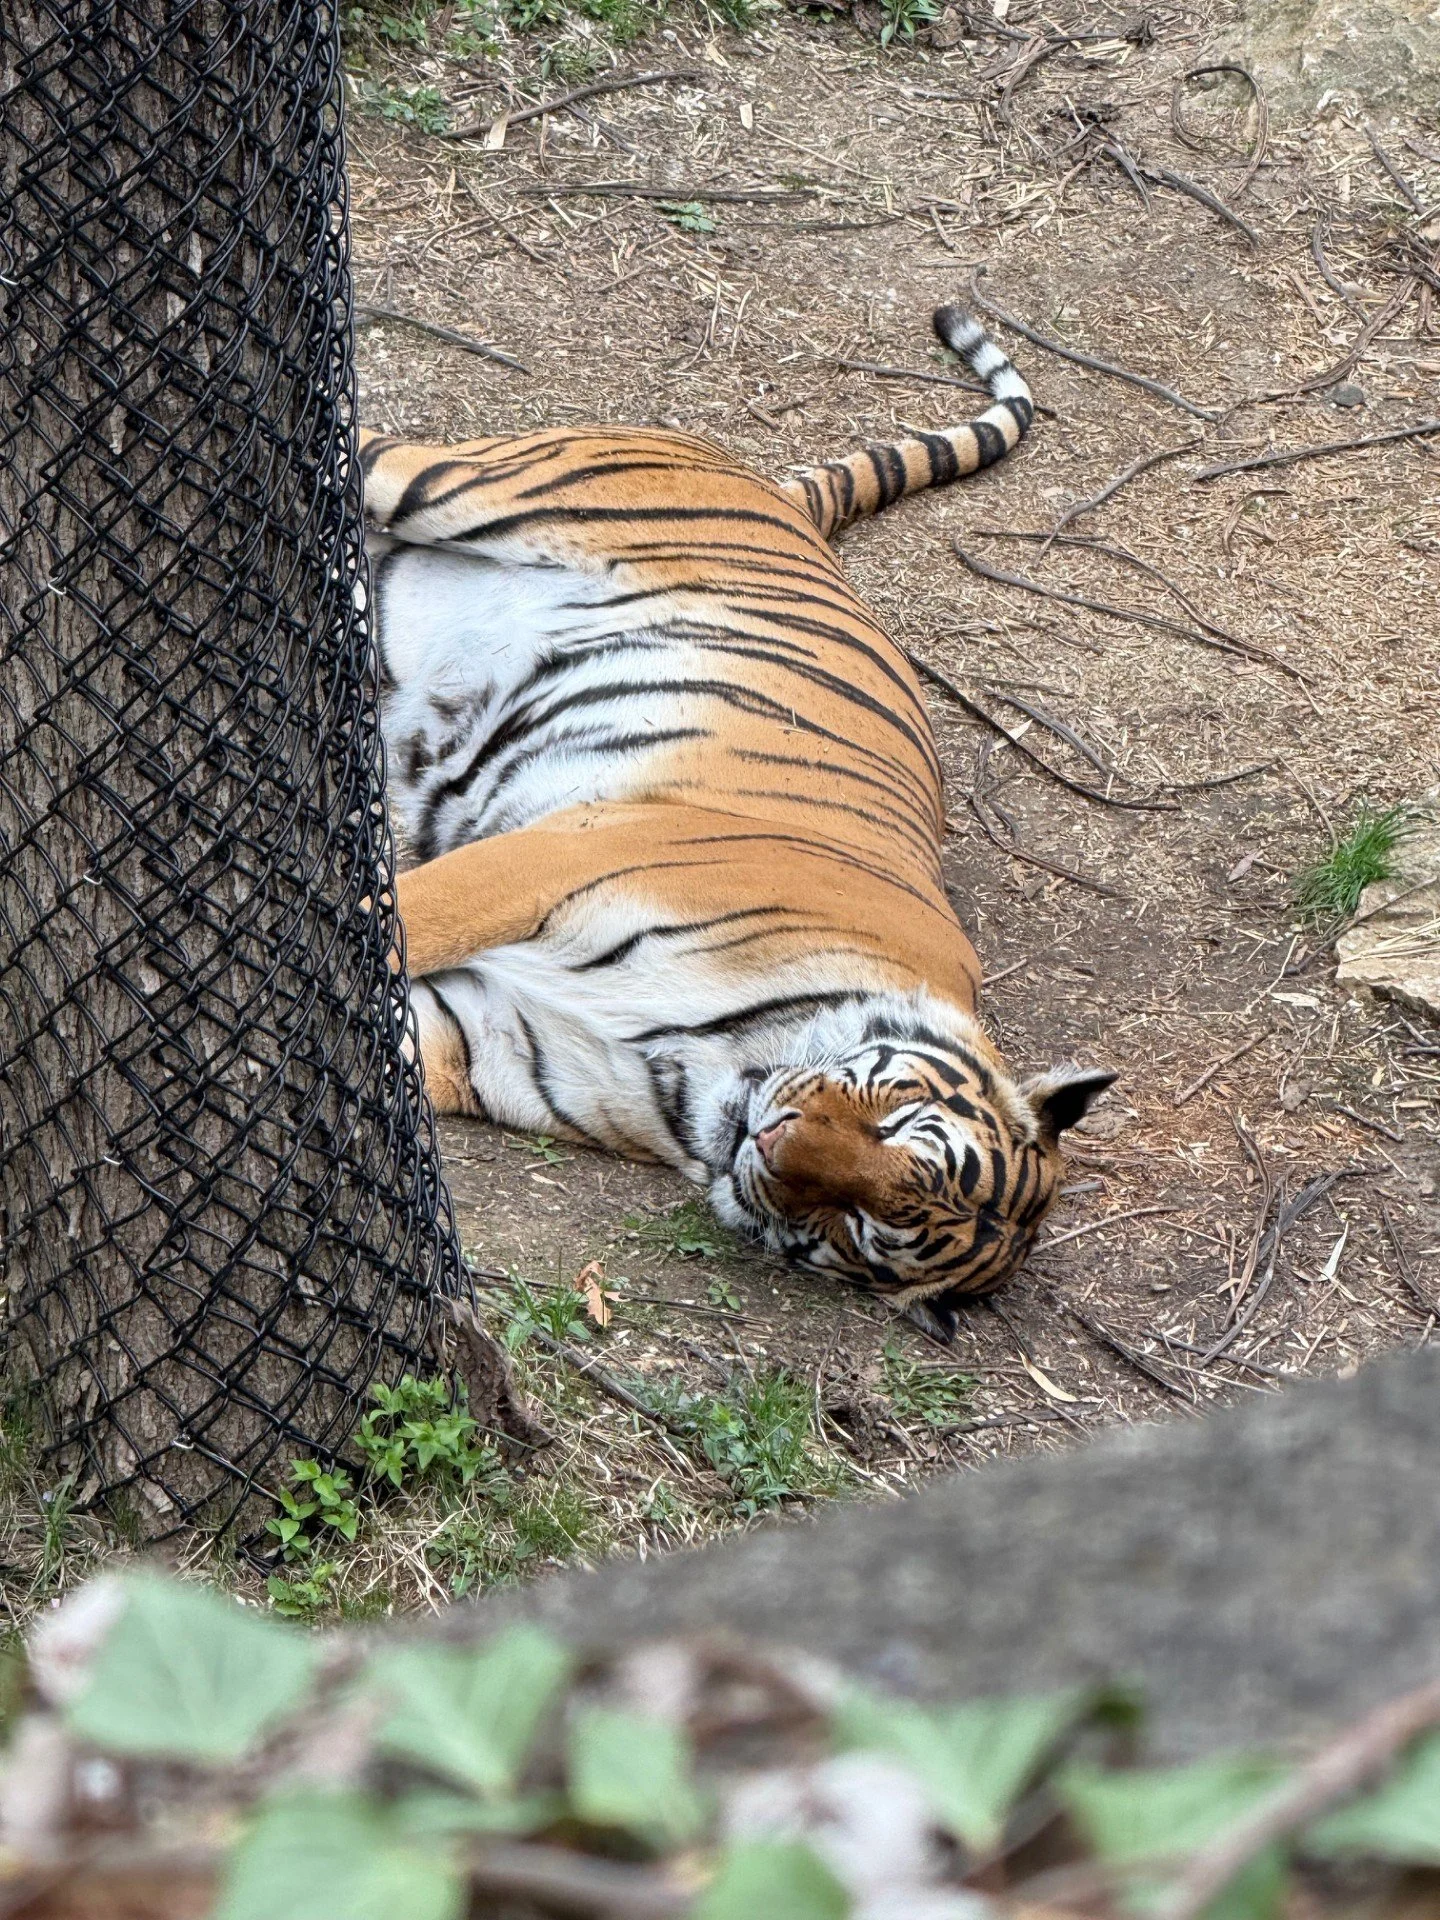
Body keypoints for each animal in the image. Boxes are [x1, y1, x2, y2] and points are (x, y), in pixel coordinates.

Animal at [364, 303, 1115, 1339]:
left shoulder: (492, 1037)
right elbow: (396, 917)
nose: (769, 1139)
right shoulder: (559, 854)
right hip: (459, 485)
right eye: (896, 1117)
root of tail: (790, 501)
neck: (712, 1064)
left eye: (862, 1228)